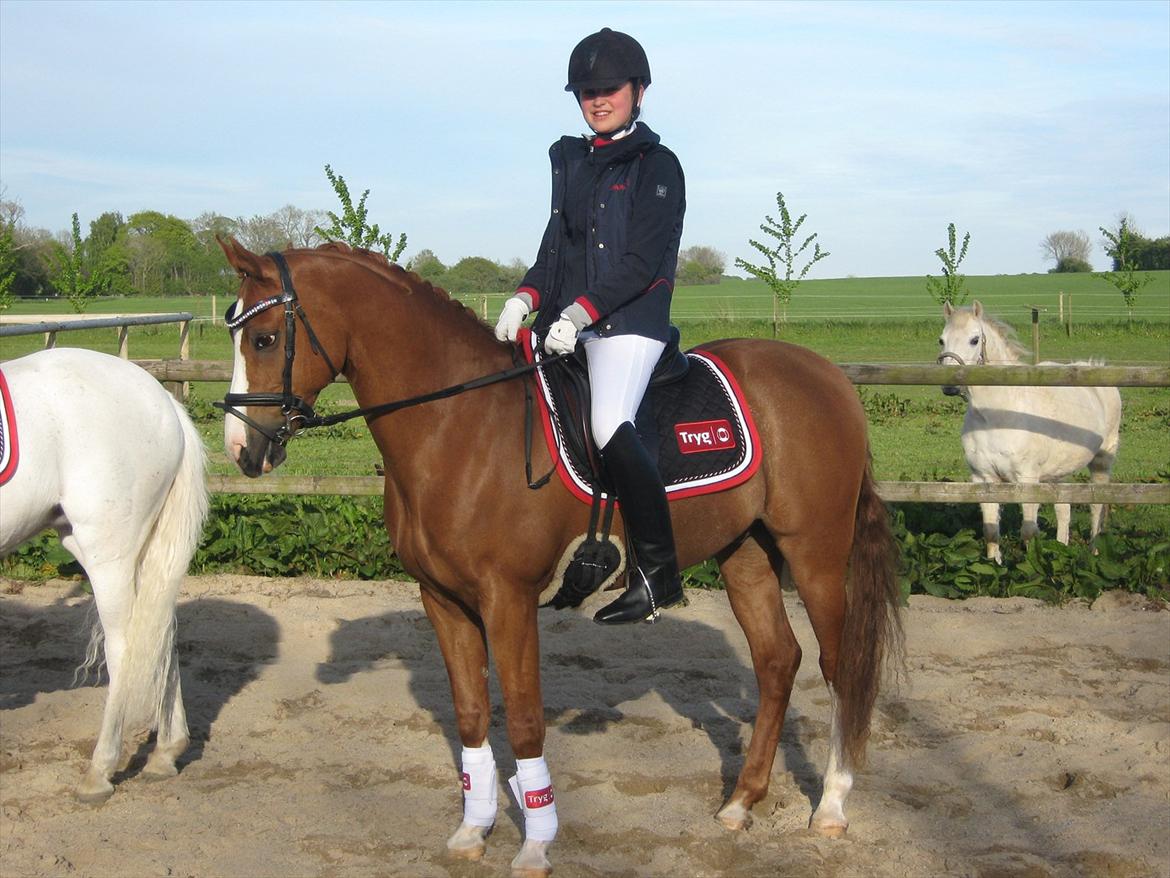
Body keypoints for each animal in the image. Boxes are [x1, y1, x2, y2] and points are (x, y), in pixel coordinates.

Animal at [0, 347, 209, 802]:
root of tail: (164, 403)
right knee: (159, 633)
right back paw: (166, 753)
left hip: (108, 552)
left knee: (126, 648)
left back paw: (100, 771)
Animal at [216, 238, 902, 877]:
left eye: (267, 338)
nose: (242, 451)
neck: (456, 422)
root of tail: (827, 374)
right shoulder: (442, 600)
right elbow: (471, 715)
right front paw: (473, 831)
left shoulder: (508, 598)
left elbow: (523, 719)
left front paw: (536, 844)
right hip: (746, 553)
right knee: (777, 661)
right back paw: (741, 802)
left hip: (815, 553)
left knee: (839, 666)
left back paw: (831, 807)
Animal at [938, 300, 1121, 563]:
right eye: (941, 340)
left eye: (974, 340)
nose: (950, 386)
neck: (998, 416)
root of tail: (1095, 367)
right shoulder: (984, 478)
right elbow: (991, 531)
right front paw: (994, 565)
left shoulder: (1027, 480)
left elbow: (1028, 532)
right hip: (1058, 472)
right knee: (1063, 509)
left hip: (1102, 460)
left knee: (1096, 506)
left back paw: (1094, 552)